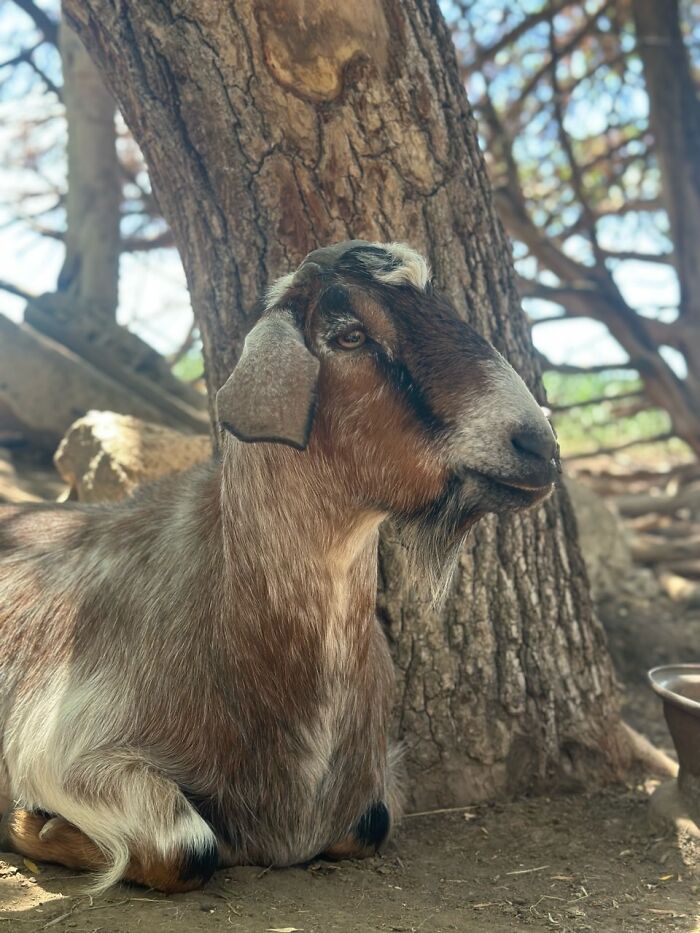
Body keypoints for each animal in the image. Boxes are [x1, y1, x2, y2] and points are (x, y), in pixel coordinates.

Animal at [0, 240, 559, 893]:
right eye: (350, 335)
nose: (540, 447)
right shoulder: (67, 749)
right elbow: (189, 849)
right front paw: (30, 825)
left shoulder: (368, 789)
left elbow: (370, 824)